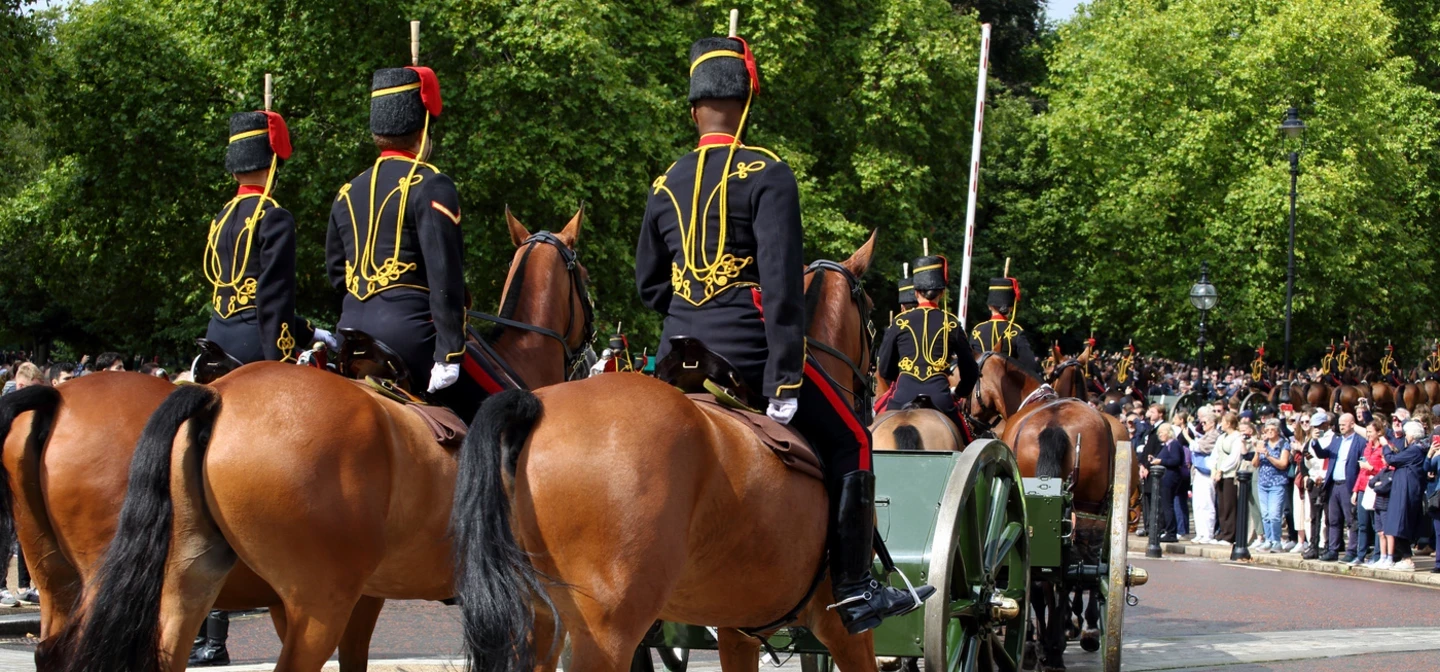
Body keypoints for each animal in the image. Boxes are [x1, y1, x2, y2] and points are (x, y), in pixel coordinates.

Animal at [50, 210, 590, 672]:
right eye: (583, 273)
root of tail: (217, 396)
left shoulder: (367, 593)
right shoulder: (540, 603)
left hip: (187, 583)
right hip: (317, 602)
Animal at [446, 235, 875, 672]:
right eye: (873, 312)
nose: (870, 391)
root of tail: (534, 408)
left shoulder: (737, 631)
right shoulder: (841, 629)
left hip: (543, 620)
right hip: (606, 633)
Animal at [967, 355, 1123, 670]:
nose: (966, 412)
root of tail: (1054, 426)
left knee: (1049, 579)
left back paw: (1041, 646)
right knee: (1071, 574)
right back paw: (1058, 645)